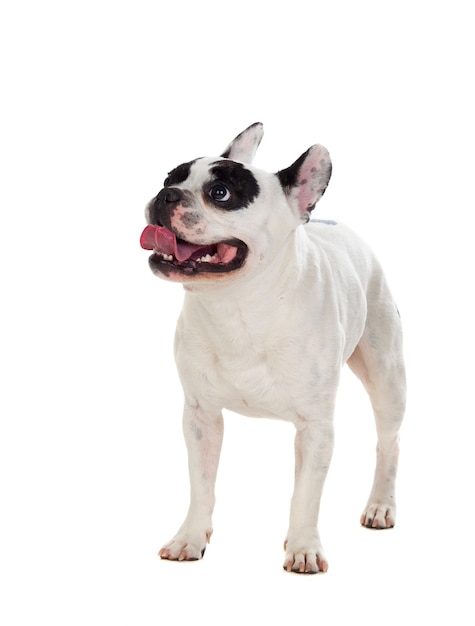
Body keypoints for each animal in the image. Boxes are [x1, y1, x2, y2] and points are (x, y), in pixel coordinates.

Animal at [139, 122, 408, 572]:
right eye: (168, 179)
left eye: (221, 193)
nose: (166, 195)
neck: (238, 304)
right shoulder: (200, 418)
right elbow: (201, 484)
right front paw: (191, 536)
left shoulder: (316, 428)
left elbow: (306, 496)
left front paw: (303, 547)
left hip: (387, 378)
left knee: (388, 443)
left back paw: (380, 506)